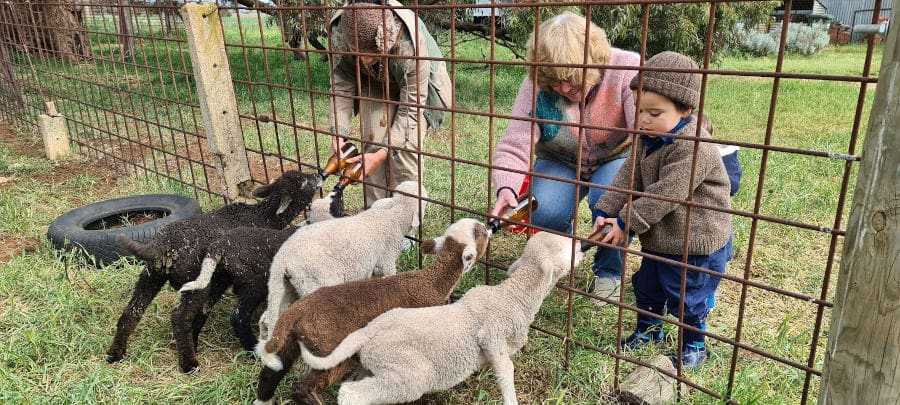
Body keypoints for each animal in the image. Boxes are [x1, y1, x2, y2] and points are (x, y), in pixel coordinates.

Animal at [107, 169, 322, 370]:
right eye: (304, 182)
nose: (320, 174)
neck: (264, 216)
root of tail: (162, 245)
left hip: (152, 275)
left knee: (132, 312)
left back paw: (115, 355)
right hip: (195, 282)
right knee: (180, 317)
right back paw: (190, 364)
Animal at [171, 189, 346, 372]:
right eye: (337, 206)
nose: (338, 190)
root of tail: (220, 246)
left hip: (217, 279)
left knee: (199, 309)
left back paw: (192, 348)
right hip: (254, 285)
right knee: (238, 317)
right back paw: (253, 350)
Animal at [256, 180, 426, 340]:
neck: (394, 216)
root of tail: (282, 260)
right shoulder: (386, 261)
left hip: (286, 289)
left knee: (268, 318)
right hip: (316, 283)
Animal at [298, 230, 588, 404]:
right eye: (566, 249)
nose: (584, 246)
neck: (513, 296)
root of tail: (369, 331)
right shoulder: (492, 334)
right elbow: (506, 371)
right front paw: (511, 398)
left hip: (380, 365)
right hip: (407, 371)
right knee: (352, 394)